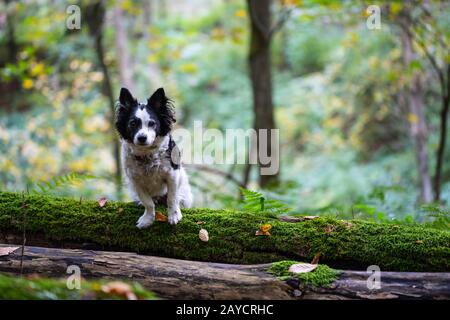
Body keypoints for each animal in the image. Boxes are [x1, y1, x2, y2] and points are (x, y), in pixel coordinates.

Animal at [114, 87, 192, 228]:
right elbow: (148, 202)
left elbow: (172, 198)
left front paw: (174, 215)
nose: (142, 137)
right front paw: (148, 219)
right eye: (132, 123)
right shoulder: (136, 181)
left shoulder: (172, 175)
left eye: (152, 123)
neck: (147, 154)